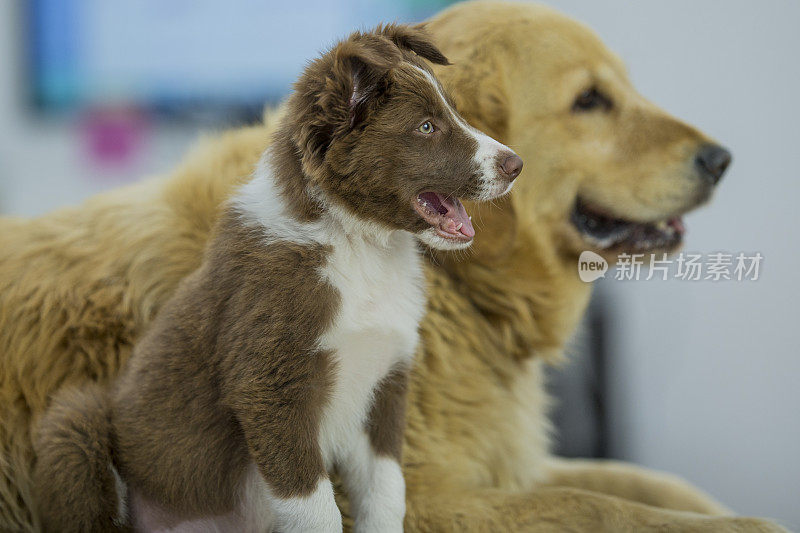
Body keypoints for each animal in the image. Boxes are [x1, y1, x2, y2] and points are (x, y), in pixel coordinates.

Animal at [31, 22, 520, 528]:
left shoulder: (385, 382)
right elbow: (318, 509)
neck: (358, 245)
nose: (516, 164)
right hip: (78, 422)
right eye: (426, 127)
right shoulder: (269, 385)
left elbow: (387, 493)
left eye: (453, 112)